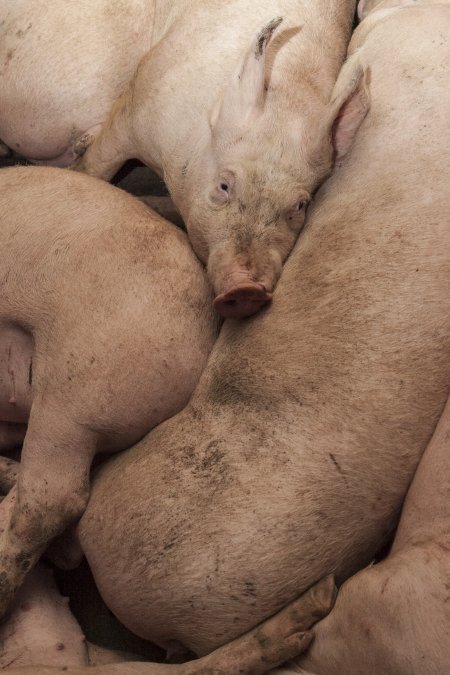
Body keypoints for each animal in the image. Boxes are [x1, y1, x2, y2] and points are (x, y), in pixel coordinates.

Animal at [75, 0, 450, 660]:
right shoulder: (138, 108)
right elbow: (100, 164)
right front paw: (85, 171)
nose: (248, 289)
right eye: (225, 185)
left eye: (300, 205)